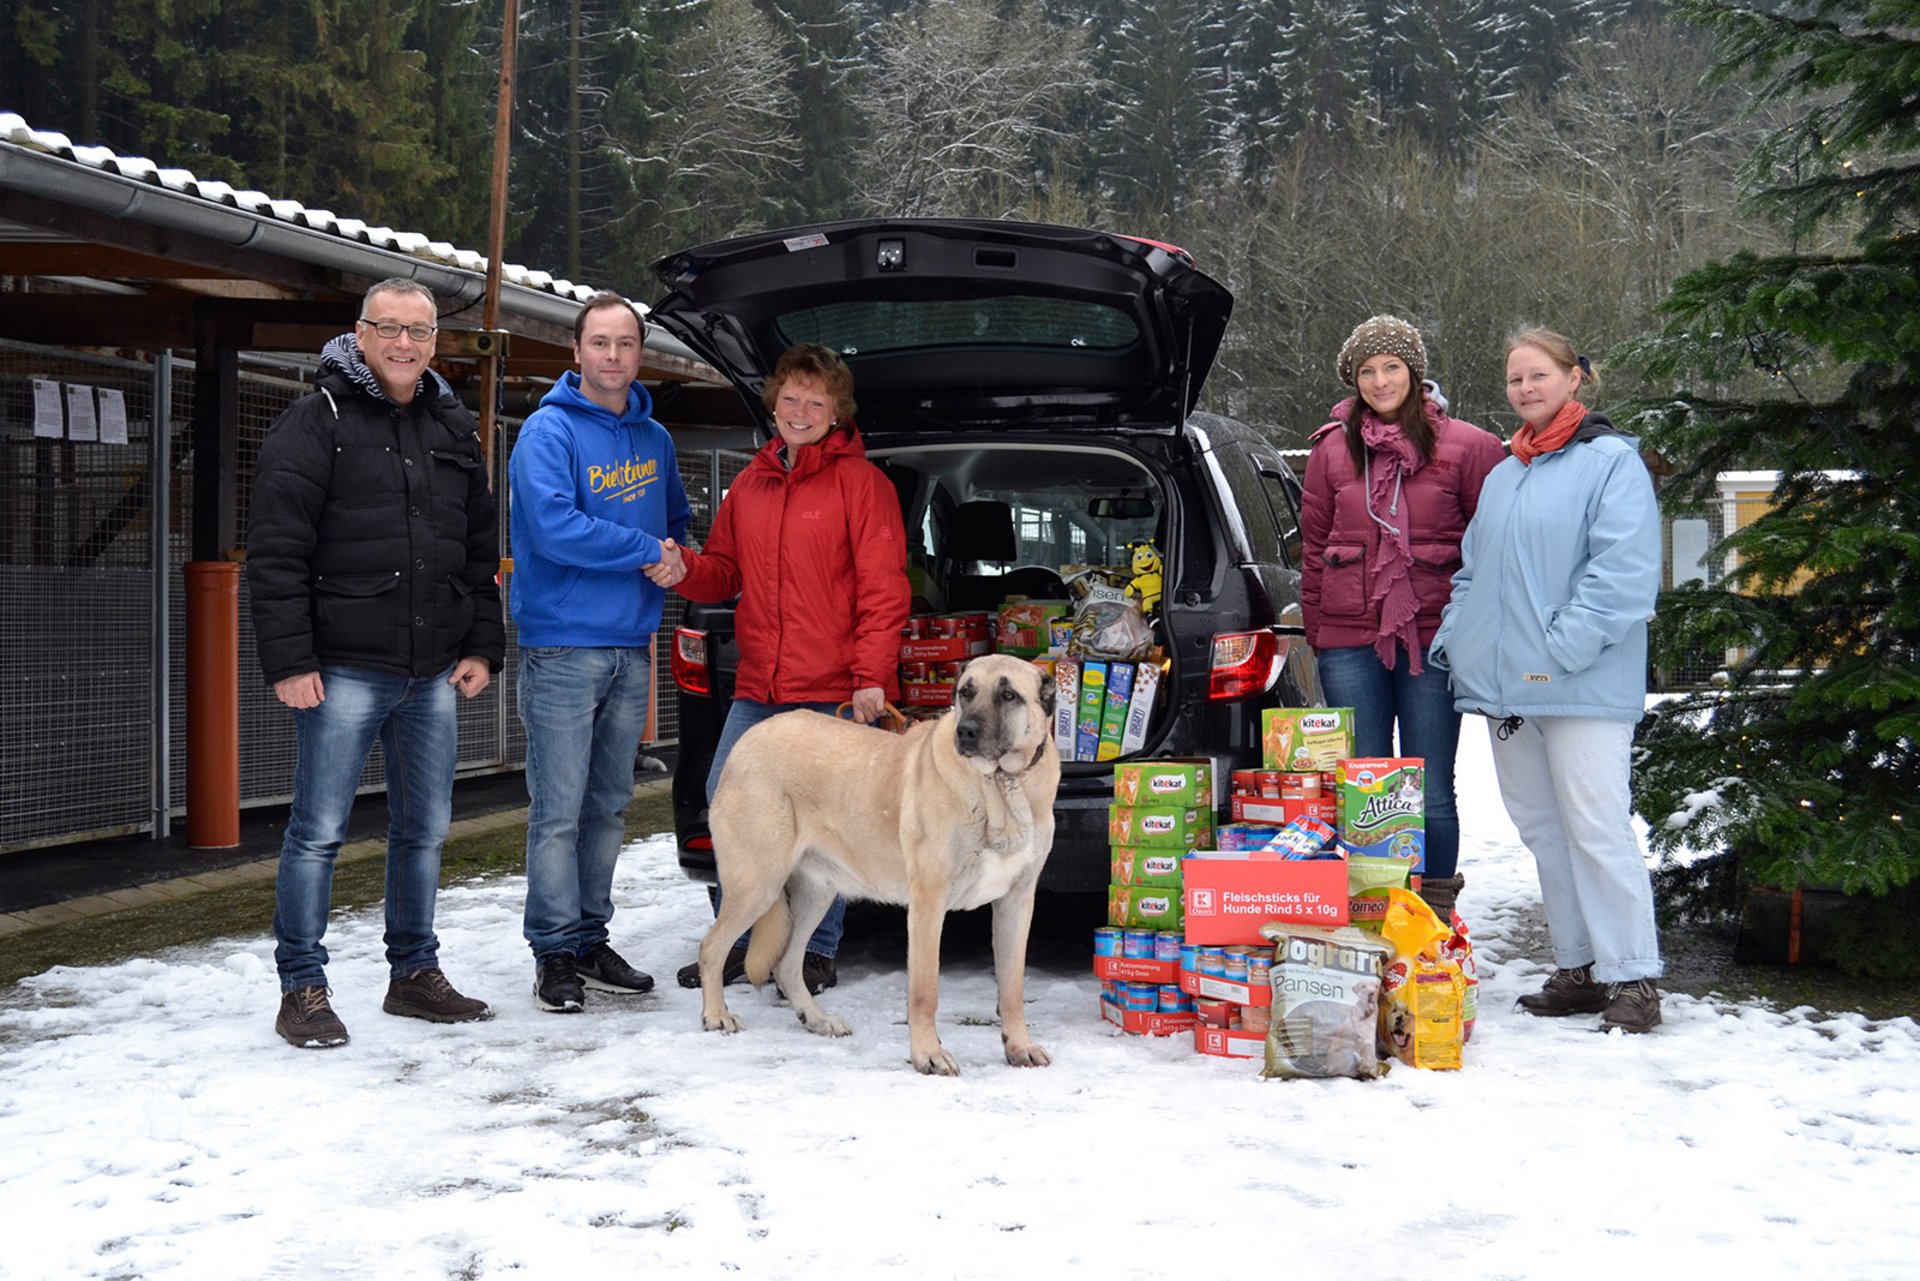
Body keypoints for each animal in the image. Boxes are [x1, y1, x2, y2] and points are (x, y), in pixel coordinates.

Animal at [702, 656, 1067, 1075]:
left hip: (816, 893)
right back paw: (716, 1015)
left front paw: (1019, 1047)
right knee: (712, 946)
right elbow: (925, 991)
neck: (1002, 785)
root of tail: (748, 738)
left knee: (787, 964)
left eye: (1009, 696)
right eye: (966, 692)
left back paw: (818, 1019)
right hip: (757, 883)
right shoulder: (928, 905)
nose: (966, 732)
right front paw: (928, 1054)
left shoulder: (1017, 902)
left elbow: (1012, 988)